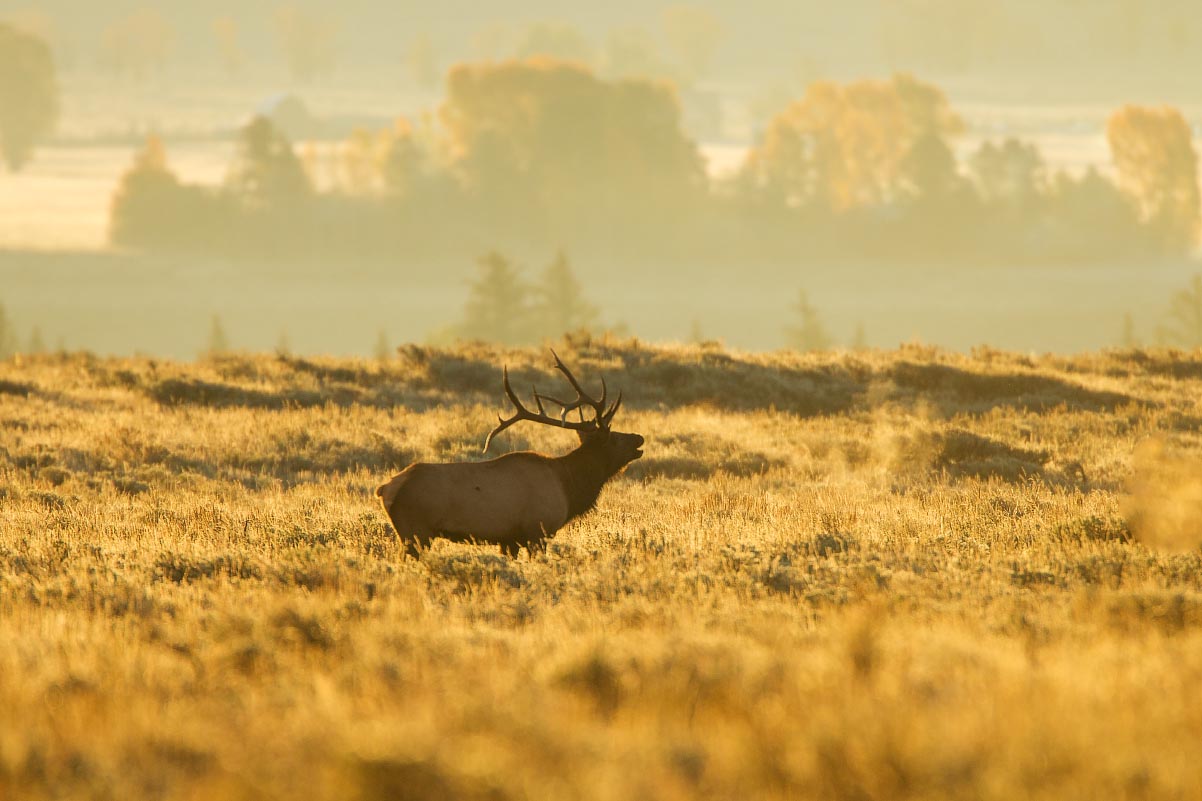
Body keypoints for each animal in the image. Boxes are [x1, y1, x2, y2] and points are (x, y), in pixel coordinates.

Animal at [377, 348, 644, 555]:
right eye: (613, 437)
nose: (639, 438)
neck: (569, 487)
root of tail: (384, 489)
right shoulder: (538, 531)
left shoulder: (509, 540)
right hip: (416, 531)